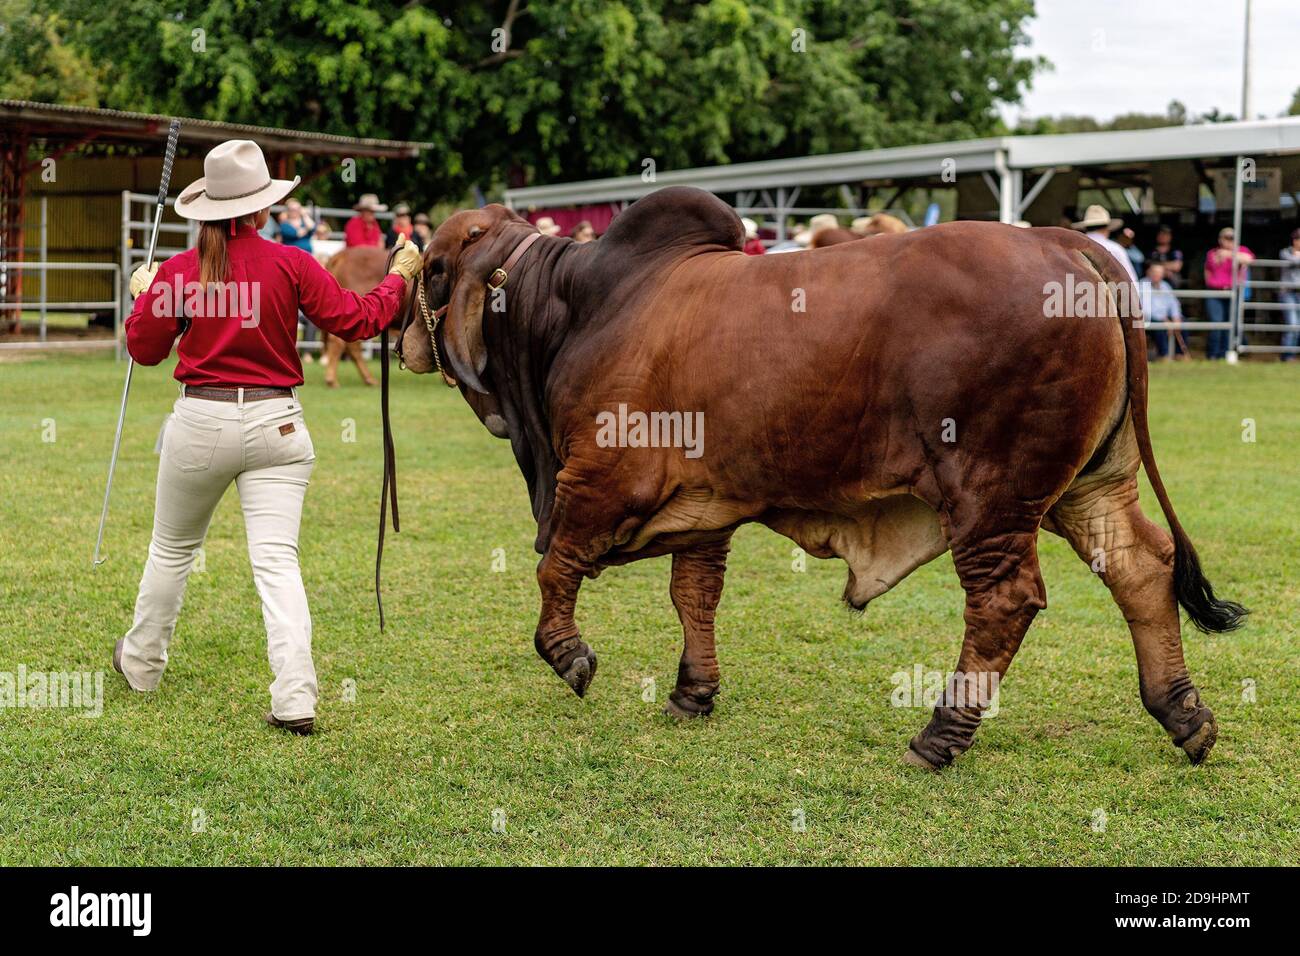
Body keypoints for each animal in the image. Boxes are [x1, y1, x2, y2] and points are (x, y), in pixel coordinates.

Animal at [396, 186, 1246, 770]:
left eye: (433, 267)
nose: (399, 339)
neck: (573, 306)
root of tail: (1069, 247)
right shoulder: (705, 505)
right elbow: (692, 596)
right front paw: (692, 694)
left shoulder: (597, 479)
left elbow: (555, 569)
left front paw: (570, 655)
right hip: (1089, 483)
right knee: (1142, 567)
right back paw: (1184, 714)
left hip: (991, 494)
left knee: (1006, 602)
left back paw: (939, 737)